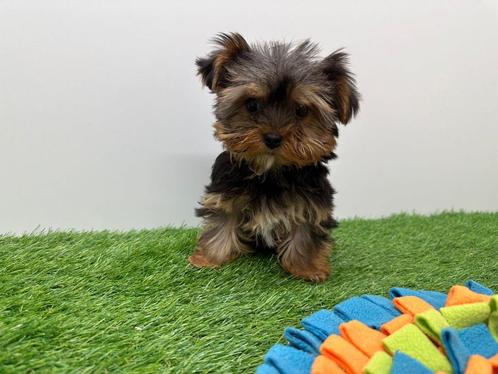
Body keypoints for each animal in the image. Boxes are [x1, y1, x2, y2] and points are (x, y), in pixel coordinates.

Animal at [190, 32, 358, 284]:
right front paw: (210, 258)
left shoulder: (310, 204)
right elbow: (222, 222)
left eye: (301, 110)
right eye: (251, 105)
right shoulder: (226, 194)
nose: (272, 138)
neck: (271, 171)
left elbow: (304, 232)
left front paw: (306, 267)